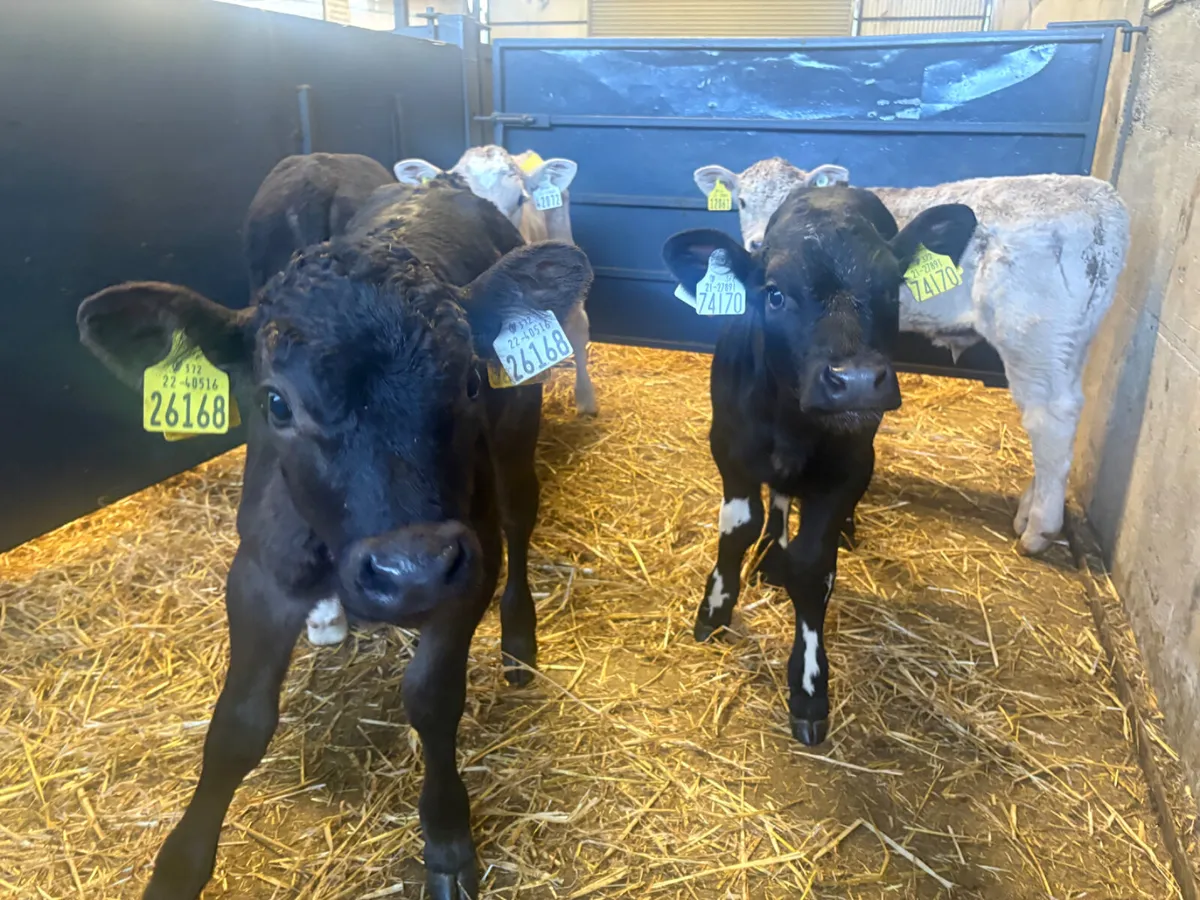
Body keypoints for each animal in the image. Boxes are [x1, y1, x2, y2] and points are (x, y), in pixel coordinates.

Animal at [76, 174, 592, 900]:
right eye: (276, 403)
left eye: (468, 380)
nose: (411, 570)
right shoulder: (259, 571)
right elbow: (237, 724)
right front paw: (179, 865)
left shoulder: (468, 563)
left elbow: (432, 699)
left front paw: (447, 841)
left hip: (518, 429)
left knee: (523, 517)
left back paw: (519, 642)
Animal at [663, 185, 976, 745]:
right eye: (774, 294)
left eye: (892, 289)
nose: (855, 381)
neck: (791, 422)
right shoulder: (729, 450)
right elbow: (737, 530)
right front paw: (716, 607)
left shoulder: (849, 465)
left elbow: (813, 568)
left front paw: (809, 686)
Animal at [694, 158, 1130, 556]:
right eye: (742, 200)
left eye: (786, 199)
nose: (756, 245)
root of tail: (1104, 199)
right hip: (1069, 343)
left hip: (1033, 336)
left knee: (1048, 420)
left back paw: (1038, 530)